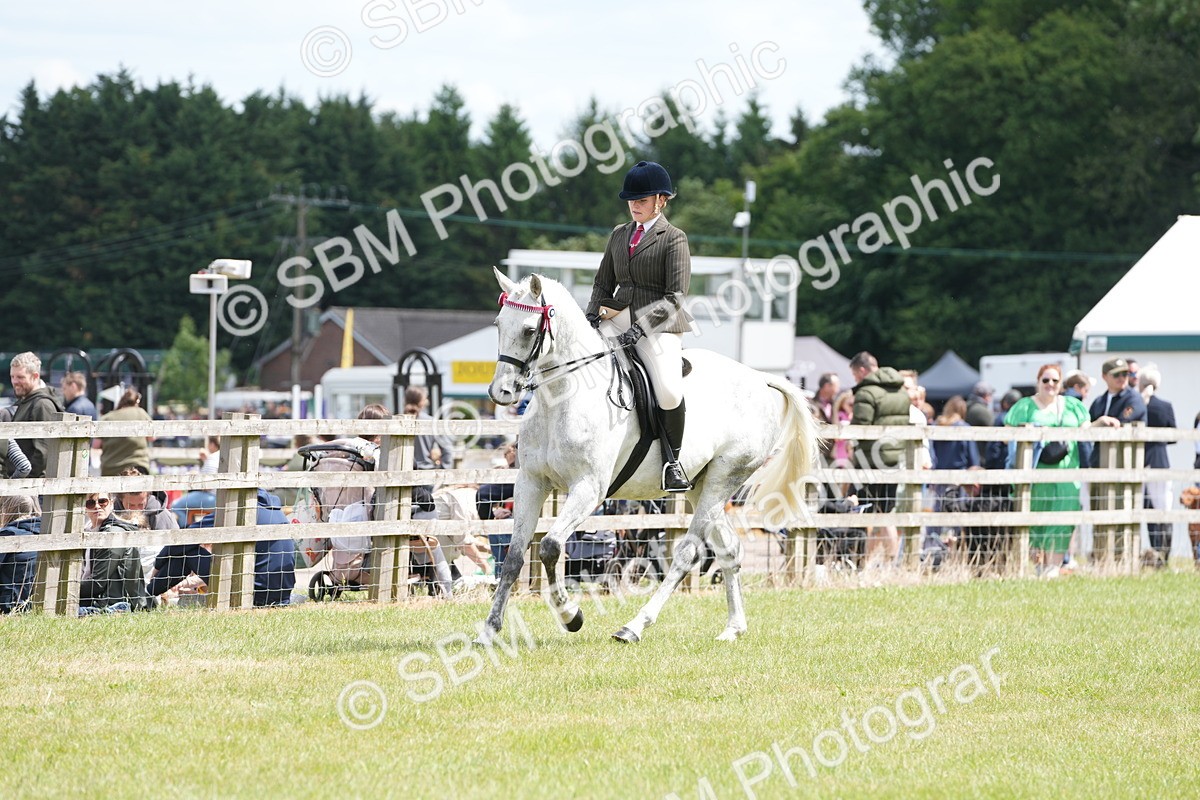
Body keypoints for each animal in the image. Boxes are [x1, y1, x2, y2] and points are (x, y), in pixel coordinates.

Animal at [475, 267, 818, 644]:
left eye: (528, 330)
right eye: (498, 324)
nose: (501, 392)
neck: (563, 398)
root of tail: (759, 379)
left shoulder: (588, 488)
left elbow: (550, 546)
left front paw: (571, 616)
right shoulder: (531, 483)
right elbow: (514, 557)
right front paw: (489, 630)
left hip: (724, 478)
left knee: (686, 554)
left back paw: (634, 626)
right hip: (702, 485)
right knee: (729, 550)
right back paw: (733, 627)